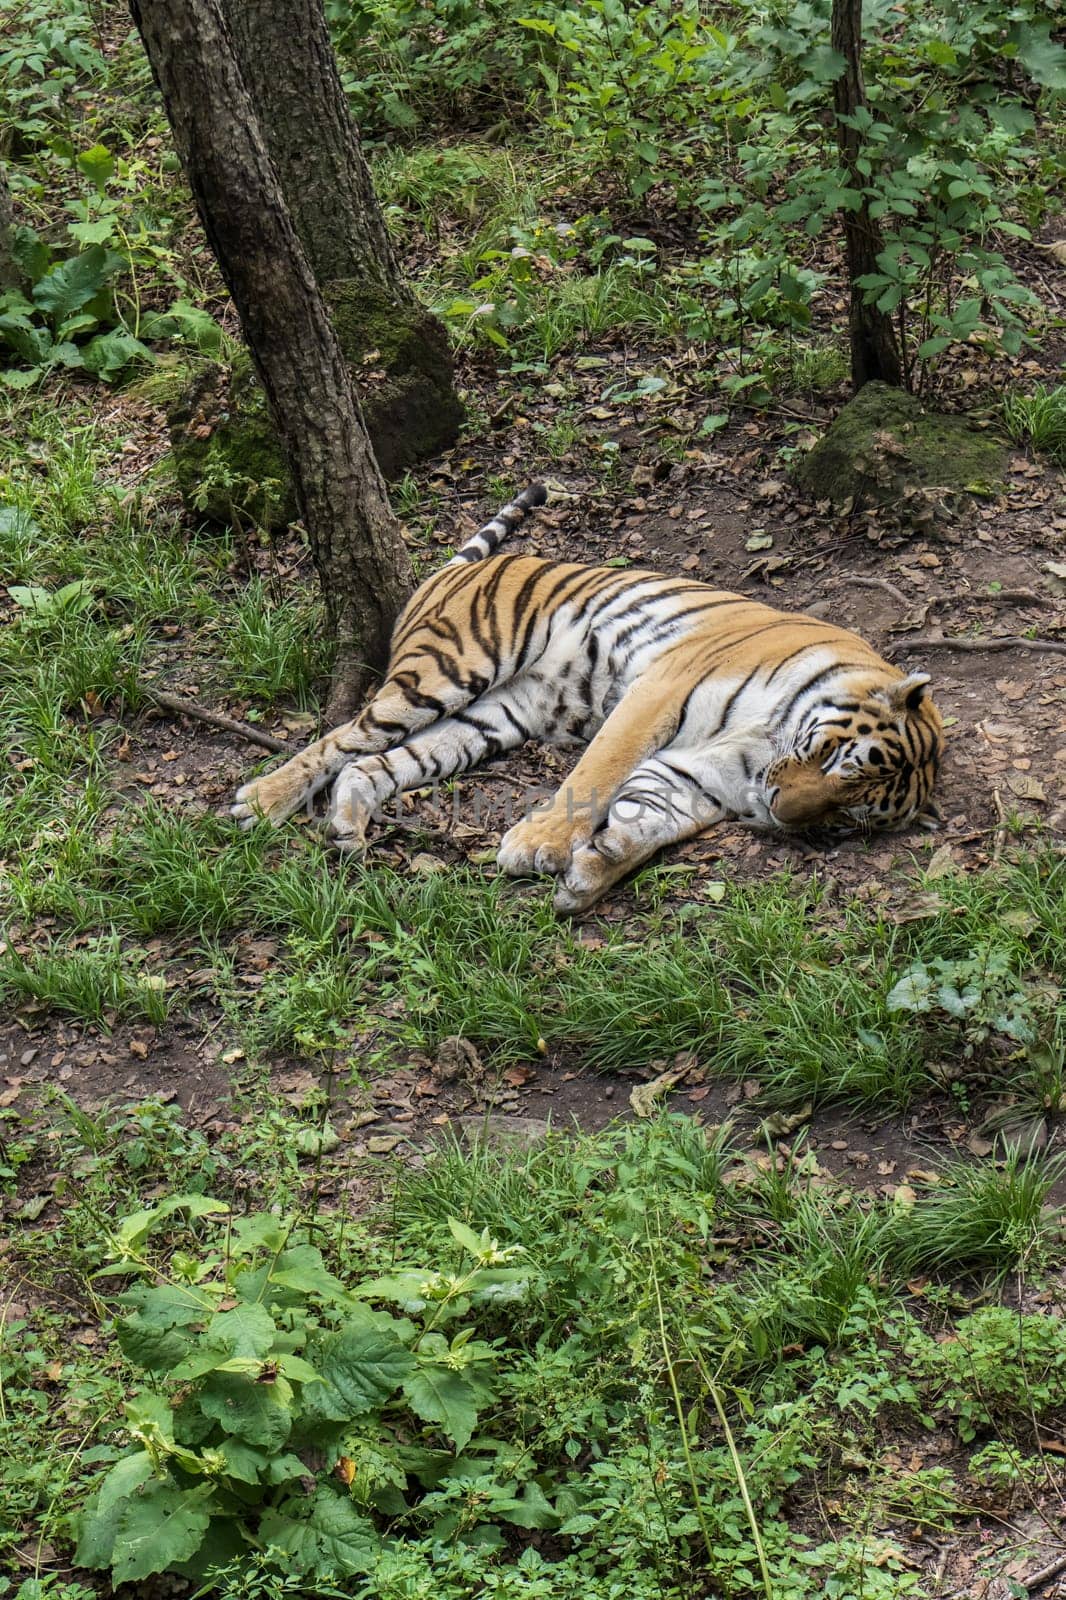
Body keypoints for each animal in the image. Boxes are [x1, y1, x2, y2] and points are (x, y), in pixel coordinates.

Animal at [232, 480, 941, 915]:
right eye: (833, 760)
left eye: (847, 816)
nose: (778, 813)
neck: (766, 745)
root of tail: (460, 567)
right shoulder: (659, 689)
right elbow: (597, 773)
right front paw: (542, 845)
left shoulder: (698, 777)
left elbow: (647, 823)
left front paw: (594, 871)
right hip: (445, 671)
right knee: (342, 738)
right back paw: (262, 802)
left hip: (491, 719)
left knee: (371, 763)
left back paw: (347, 828)